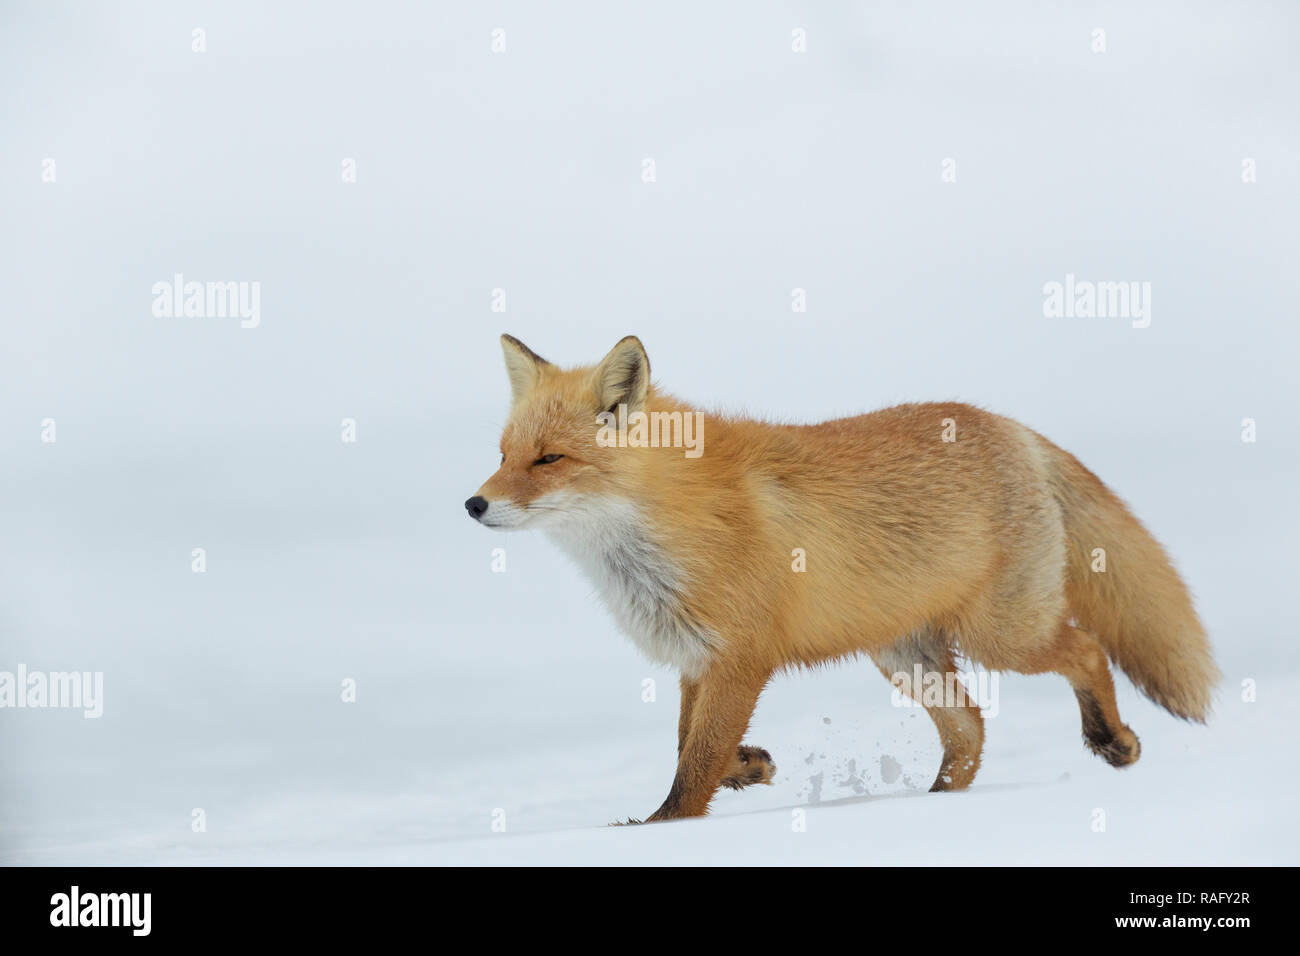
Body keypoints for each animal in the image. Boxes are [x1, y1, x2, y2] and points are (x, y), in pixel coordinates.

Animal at [467, 335, 1216, 822]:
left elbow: (694, 765)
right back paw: (933, 810)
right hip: (905, 656)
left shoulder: (740, 658)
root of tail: (1012, 427)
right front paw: (751, 766)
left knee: (1085, 650)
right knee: (970, 729)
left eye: (549, 460)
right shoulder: (695, 659)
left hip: (1003, 636)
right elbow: (688, 745)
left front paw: (662, 831)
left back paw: (1111, 742)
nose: (473, 504)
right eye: (503, 455)